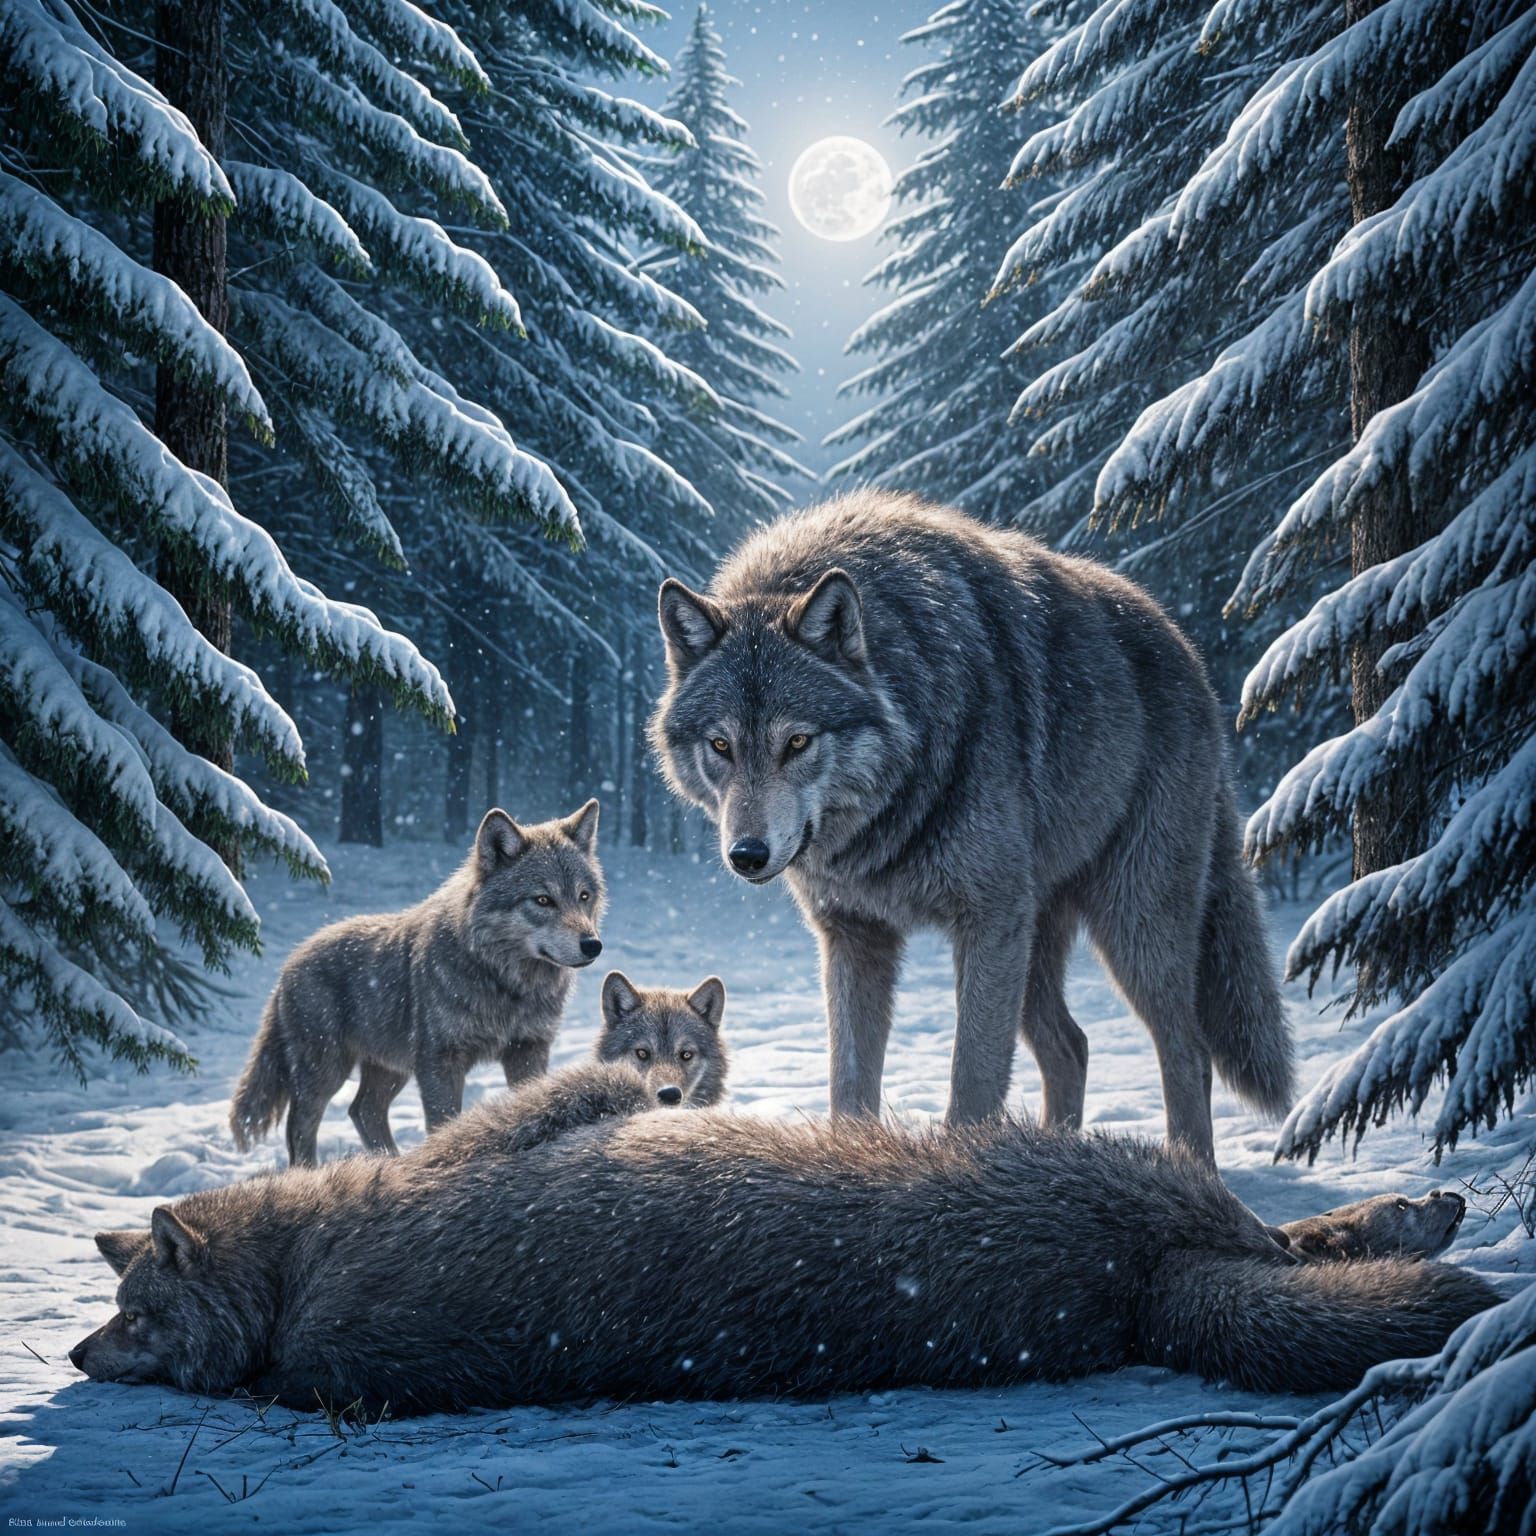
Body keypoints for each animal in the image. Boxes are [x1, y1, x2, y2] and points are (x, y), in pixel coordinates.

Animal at [229, 801, 604, 1166]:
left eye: (584, 897)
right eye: (543, 900)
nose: (593, 945)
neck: (506, 985)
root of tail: (290, 962)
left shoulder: (529, 1050)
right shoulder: (440, 1062)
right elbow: (443, 1123)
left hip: (390, 1069)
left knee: (362, 1110)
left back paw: (389, 1163)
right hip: (327, 1071)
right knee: (299, 1129)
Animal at [649, 490, 1291, 1162]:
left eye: (797, 742)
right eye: (721, 745)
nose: (747, 854)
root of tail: (1187, 648)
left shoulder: (987, 923)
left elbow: (973, 1083)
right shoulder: (853, 936)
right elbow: (849, 1087)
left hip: (1128, 926)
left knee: (1188, 1052)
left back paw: (1194, 1175)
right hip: (1037, 943)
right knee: (1073, 1046)